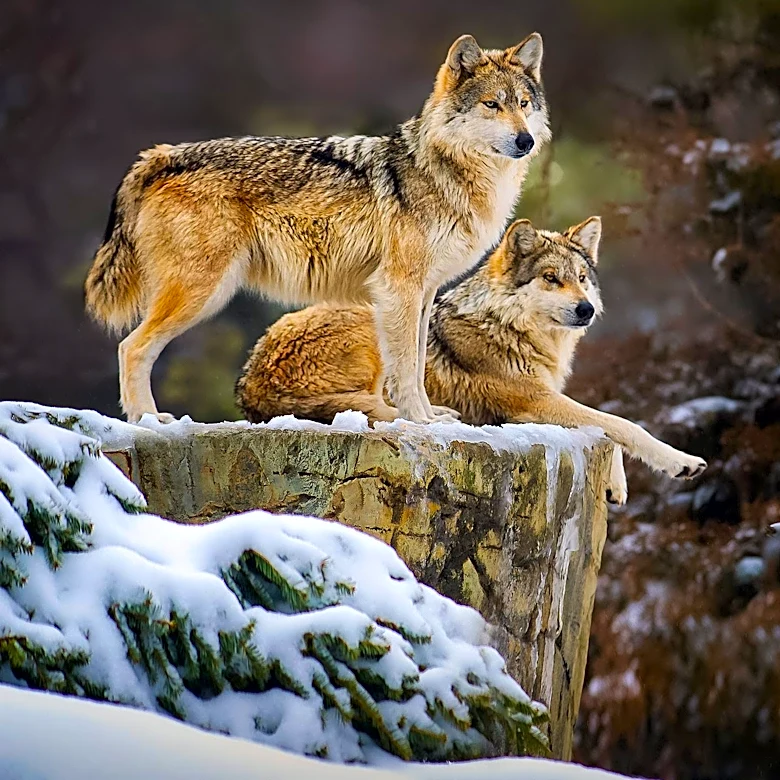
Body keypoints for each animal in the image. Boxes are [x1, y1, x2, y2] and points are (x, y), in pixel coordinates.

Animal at [84, 33, 550, 424]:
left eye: (524, 103)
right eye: (492, 105)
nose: (525, 141)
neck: (448, 172)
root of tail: (164, 154)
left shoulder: (424, 292)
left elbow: (418, 365)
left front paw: (431, 416)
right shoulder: (399, 287)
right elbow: (404, 369)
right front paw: (420, 421)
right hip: (202, 292)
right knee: (131, 347)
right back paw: (147, 420)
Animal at [236, 217, 707, 503]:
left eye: (581, 279)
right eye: (550, 278)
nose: (586, 309)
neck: (511, 327)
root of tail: (250, 383)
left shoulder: (546, 400)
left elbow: (606, 426)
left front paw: (615, 485)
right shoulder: (534, 402)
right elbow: (620, 424)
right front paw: (681, 462)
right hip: (376, 322)